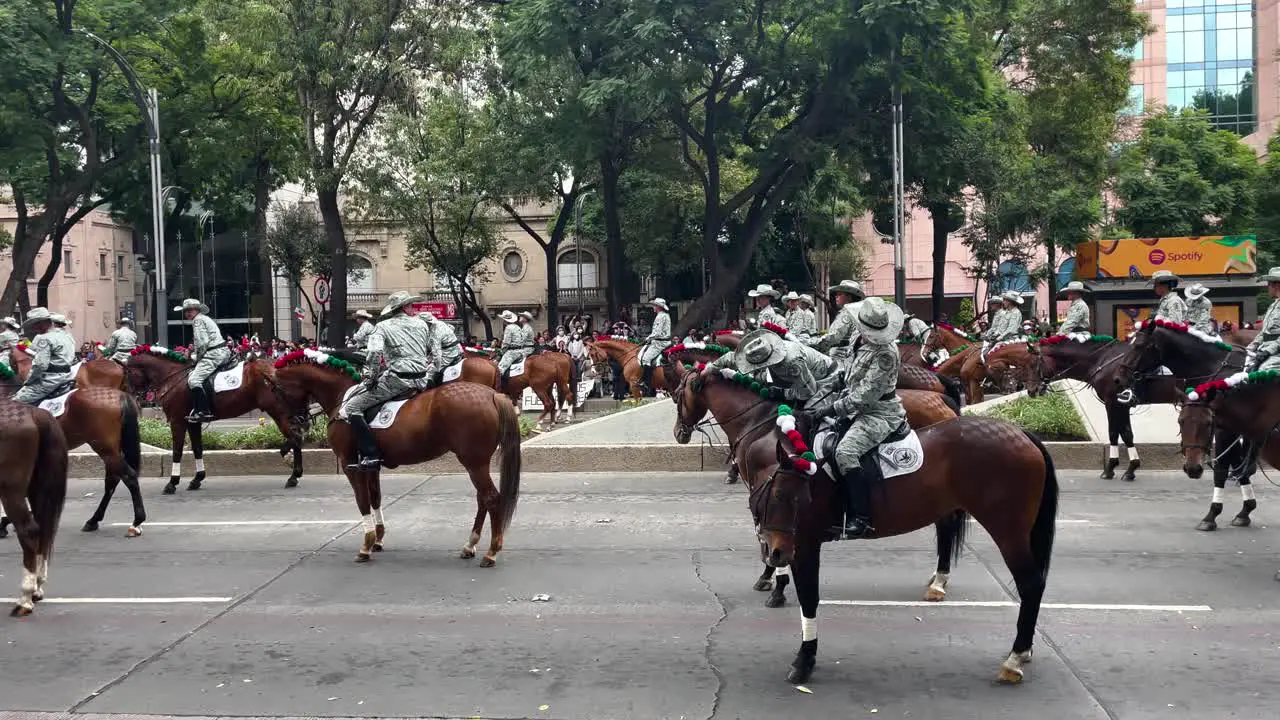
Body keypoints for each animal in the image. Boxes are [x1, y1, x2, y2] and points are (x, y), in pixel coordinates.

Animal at [0, 366, 145, 535]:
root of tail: (120, 395)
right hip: (112, 449)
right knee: (113, 480)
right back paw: (93, 520)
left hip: (106, 449)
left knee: (129, 477)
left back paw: (136, 522)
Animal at [0, 394, 68, 614]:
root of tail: (34, 413)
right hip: (36, 488)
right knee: (44, 531)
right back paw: (37, 587)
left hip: (11, 491)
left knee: (29, 531)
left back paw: (25, 598)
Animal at [125, 345, 304, 489]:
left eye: (128, 372)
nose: (133, 397)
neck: (173, 377)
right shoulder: (192, 422)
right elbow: (197, 449)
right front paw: (197, 479)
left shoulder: (177, 421)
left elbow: (177, 451)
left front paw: (172, 482)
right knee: (296, 437)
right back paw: (294, 473)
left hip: (277, 412)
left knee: (295, 437)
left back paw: (292, 470)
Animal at [272, 353, 522, 566]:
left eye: (276, 389)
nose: (294, 425)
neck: (343, 400)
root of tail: (491, 394)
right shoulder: (371, 466)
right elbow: (375, 498)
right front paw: (378, 539)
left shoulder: (349, 465)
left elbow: (362, 501)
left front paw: (366, 545)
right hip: (476, 463)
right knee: (482, 499)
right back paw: (470, 545)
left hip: (474, 462)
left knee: (491, 499)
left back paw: (491, 552)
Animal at [670, 358, 1049, 681]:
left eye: (676, 394)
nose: (679, 432)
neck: (762, 425)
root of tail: (1023, 433)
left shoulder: (801, 538)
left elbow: (807, 594)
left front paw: (787, 617)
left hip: (1008, 530)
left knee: (1030, 583)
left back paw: (1014, 657)